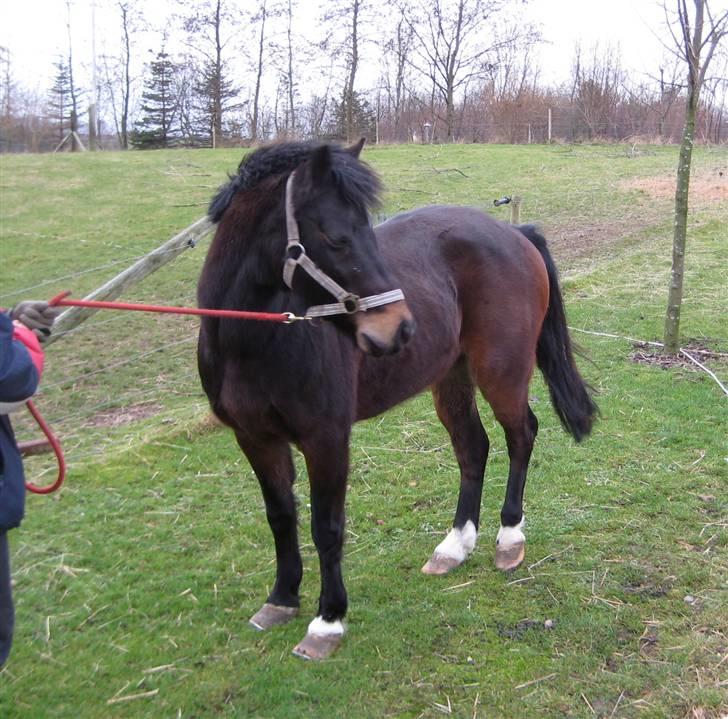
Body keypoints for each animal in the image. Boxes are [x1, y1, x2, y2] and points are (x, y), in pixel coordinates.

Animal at [197, 139, 597, 660]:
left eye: (366, 228)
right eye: (335, 236)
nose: (400, 328)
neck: (253, 342)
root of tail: (515, 233)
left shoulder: (326, 439)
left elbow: (327, 528)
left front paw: (327, 621)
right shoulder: (255, 438)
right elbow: (281, 516)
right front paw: (282, 598)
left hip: (502, 372)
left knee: (521, 436)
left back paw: (509, 537)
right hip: (451, 377)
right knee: (474, 448)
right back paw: (454, 546)